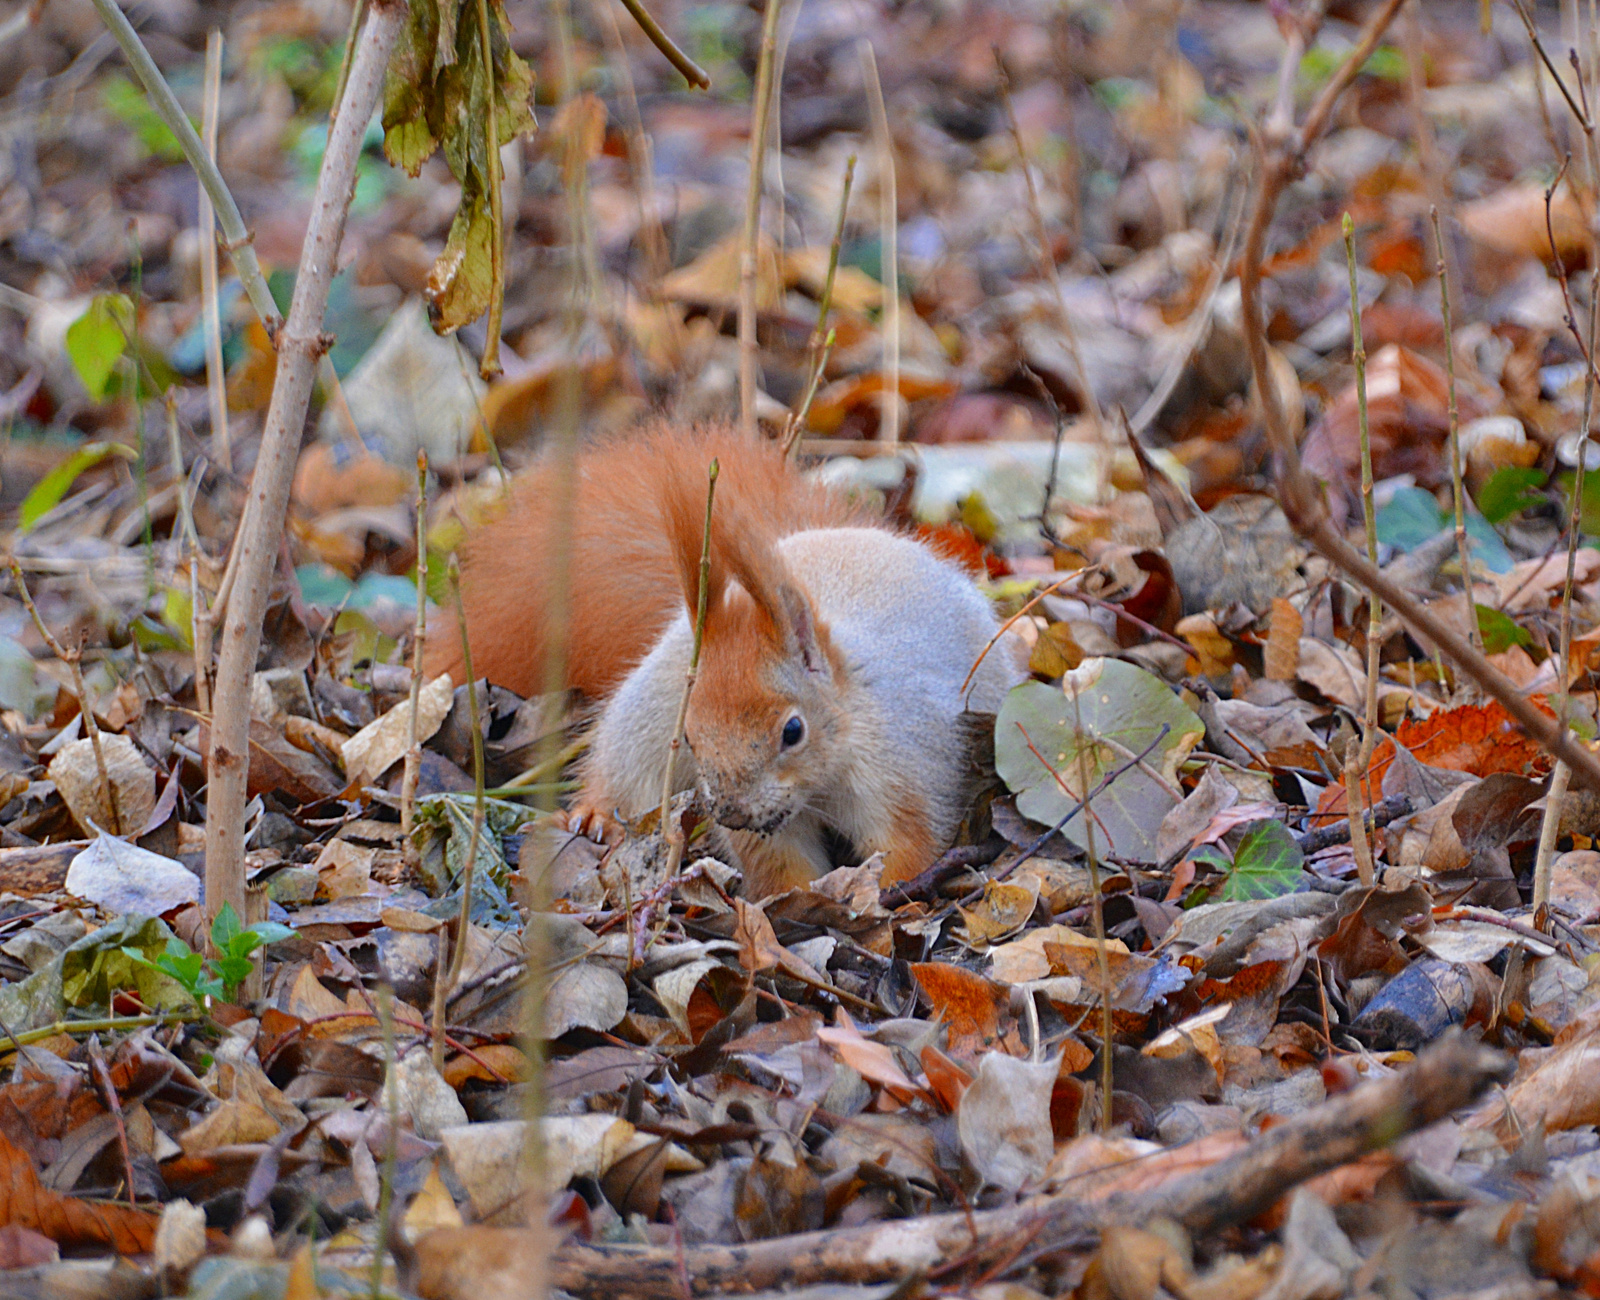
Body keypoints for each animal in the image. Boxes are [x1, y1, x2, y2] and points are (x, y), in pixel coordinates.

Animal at [425, 422, 1024, 896]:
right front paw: (801, 899)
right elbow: (776, 864)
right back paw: (597, 815)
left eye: (793, 731)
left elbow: (910, 846)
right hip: (652, 701)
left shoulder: (905, 766)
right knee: (622, 759)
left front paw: (873, 890)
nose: (732, 811)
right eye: (690, 738)